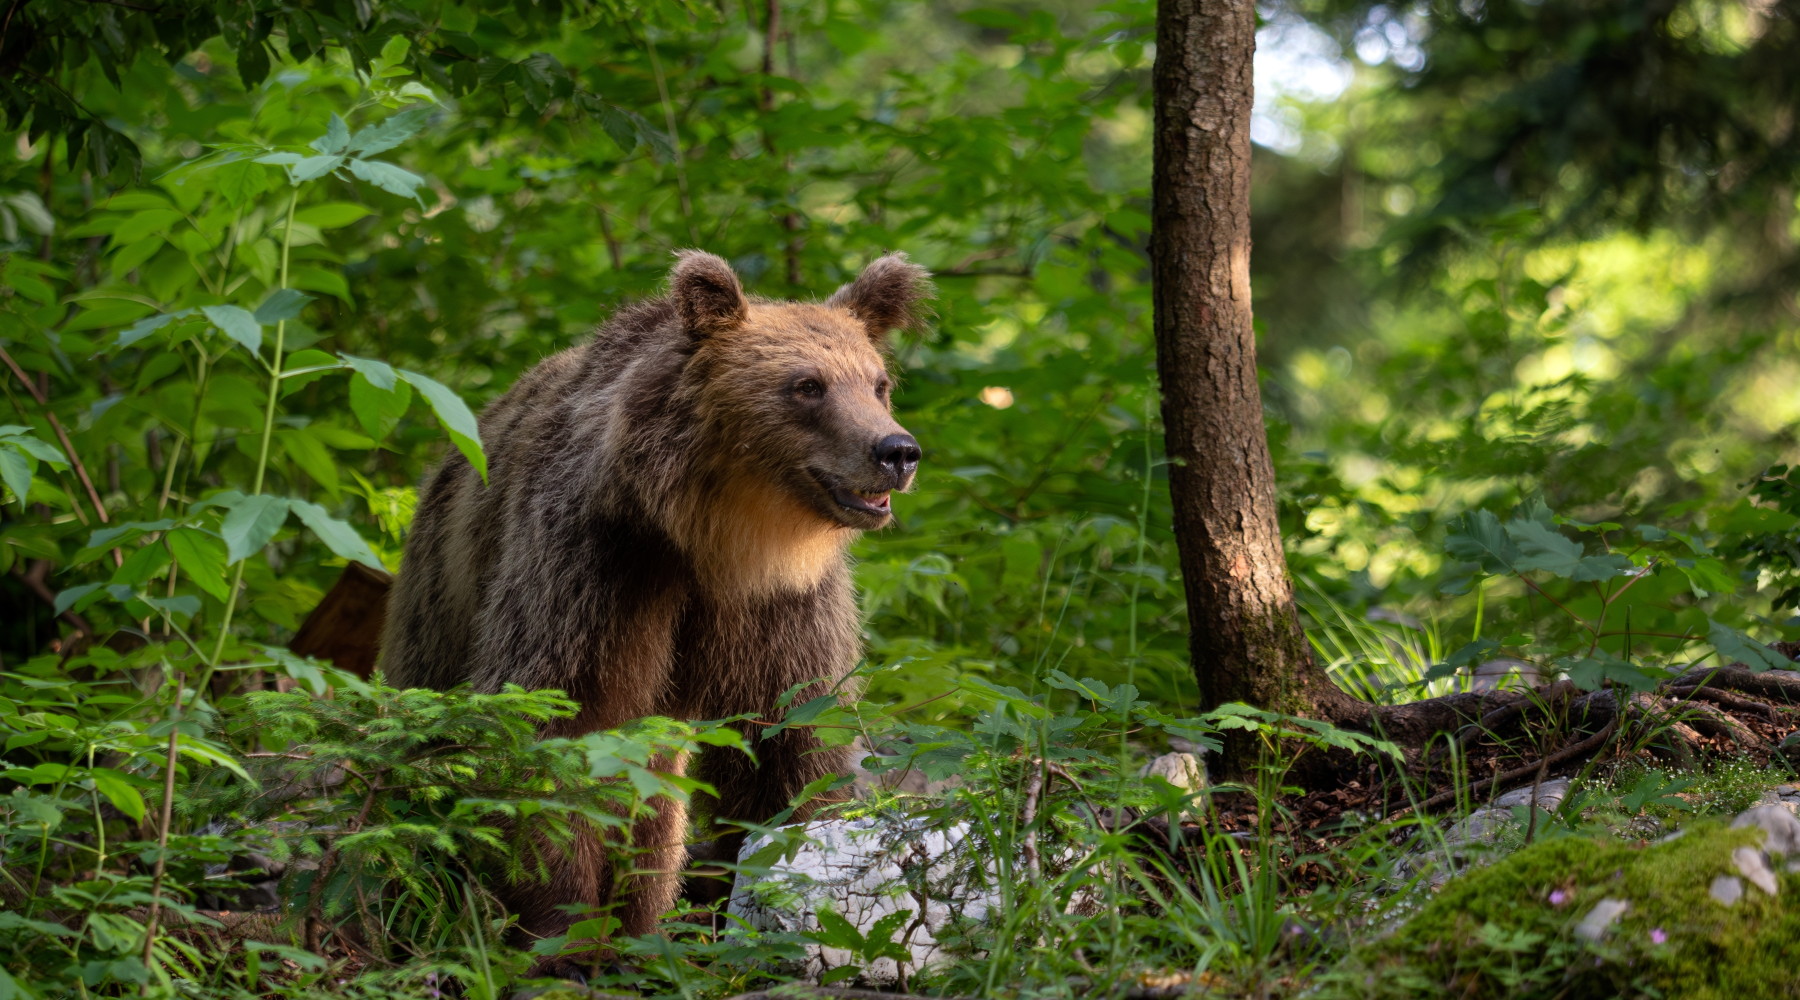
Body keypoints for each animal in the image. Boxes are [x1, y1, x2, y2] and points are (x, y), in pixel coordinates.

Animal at [378, 249, 932, 961]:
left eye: (878, 383)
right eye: (808, 386)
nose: (896, 451)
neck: (719, 541)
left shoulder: (783, 609)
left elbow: (791, 743)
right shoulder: (599, 567)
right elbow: (563, 723)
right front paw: (561, 929)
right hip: (441, 600)